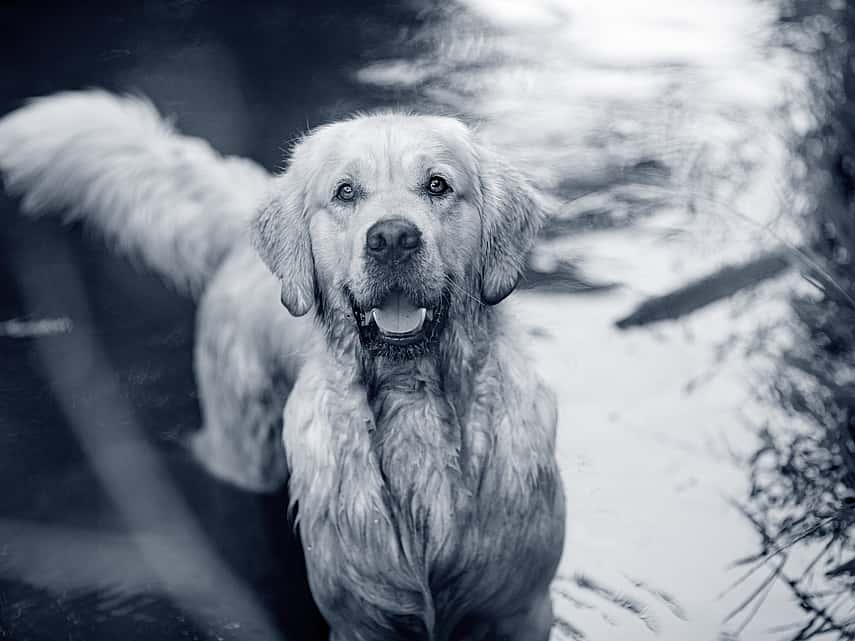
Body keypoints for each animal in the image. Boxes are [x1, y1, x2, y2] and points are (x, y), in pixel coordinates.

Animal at [0, 91, 568, 640]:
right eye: (345, 192)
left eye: (437, 185)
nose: (392, 239)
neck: (413, 397)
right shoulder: (358, 619)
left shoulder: (520, 609)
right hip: (244, 451)